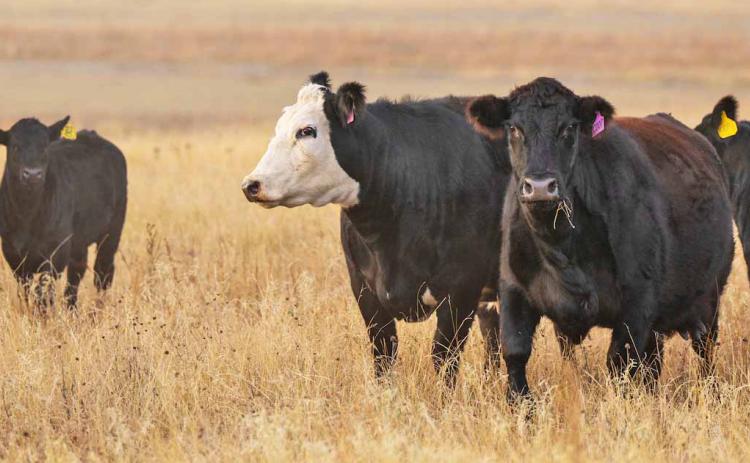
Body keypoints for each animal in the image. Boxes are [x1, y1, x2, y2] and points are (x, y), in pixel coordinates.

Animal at [0, 117, 128, 308]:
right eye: (15, 146)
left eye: (44, 147)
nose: (33, 174)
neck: (27, 214)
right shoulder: (12, 252)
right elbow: (26, 291)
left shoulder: (57, 252)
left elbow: (43, 293)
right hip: (79, 240)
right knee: (77, 273)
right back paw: (72, 309)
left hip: (112, 232)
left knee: (103, 273)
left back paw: (97, 309)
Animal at [241, 72, 511, 385]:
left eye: (307, 131)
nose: (252, 185)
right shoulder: (365, 291)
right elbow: (384, 356)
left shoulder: (461, 290)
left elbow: (444, 359)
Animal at [467, 77, 734, 401]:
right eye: (514, 128)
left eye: (569, 128)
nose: (540, 187)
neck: (562, 247)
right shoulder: (513, 290)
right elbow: (515, 353)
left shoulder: (637, 302)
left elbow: (620, 363)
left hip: (709, 300)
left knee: (703, 353)